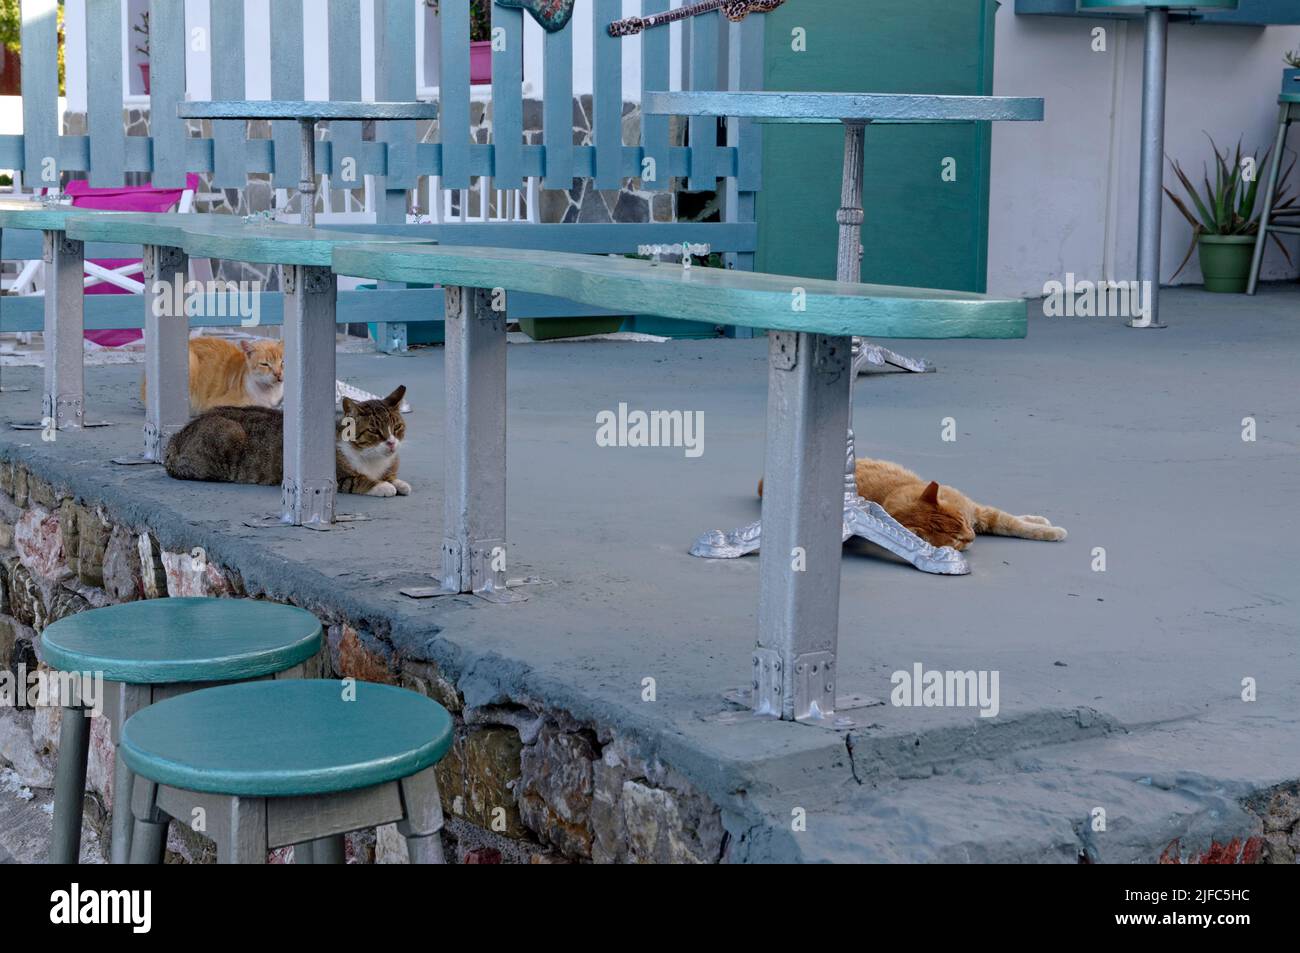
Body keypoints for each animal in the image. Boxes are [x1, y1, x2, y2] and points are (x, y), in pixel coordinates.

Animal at [165, 384, 410, 499]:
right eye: (374, 431)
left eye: (397, 427)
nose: (391, 443)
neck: (373, 460)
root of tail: (176, 438)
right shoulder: (338, 477)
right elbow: (360, 480)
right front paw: (382, 486)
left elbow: (392, 477)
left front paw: (398, 482)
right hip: (229, 432)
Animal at [759, 460, 1066, 553]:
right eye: (956, 540)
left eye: (963, 523)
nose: (972, 537)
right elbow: (1010, 522)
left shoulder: (978, 512)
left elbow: (1013, 521)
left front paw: (1044, 526)